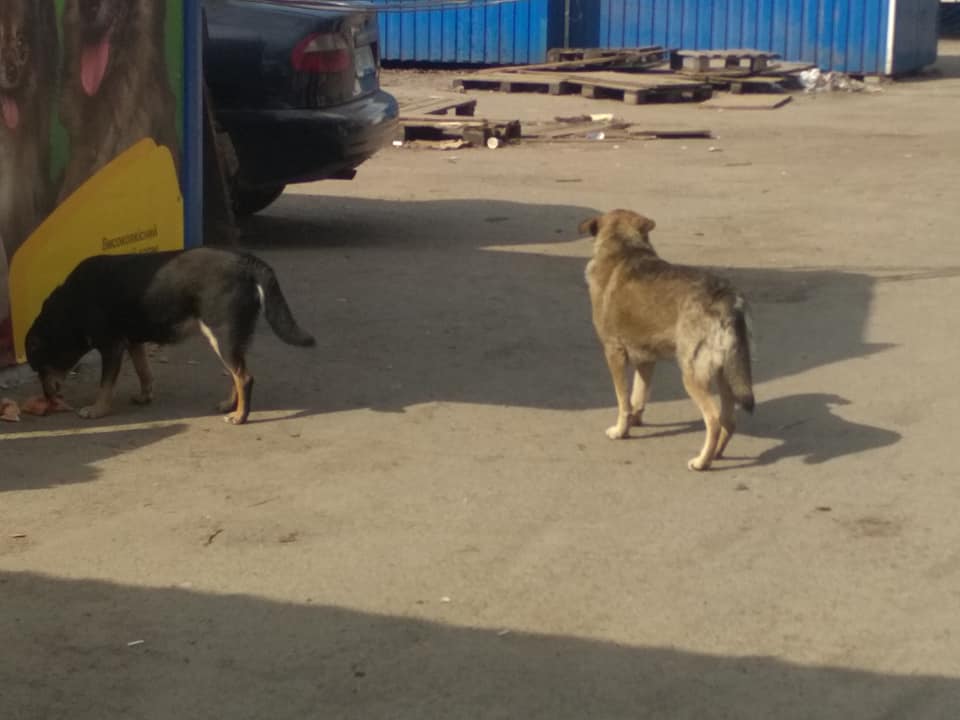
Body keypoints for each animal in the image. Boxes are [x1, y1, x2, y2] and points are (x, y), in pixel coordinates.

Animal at [26, 250, 316, 424]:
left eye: (40, 368)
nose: (48, 398)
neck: (69, 308)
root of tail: (246, 262)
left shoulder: (111, 346)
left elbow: (105, 385)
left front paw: (98, 409)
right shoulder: (133, 343)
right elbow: (144, 372)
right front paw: (145, 396)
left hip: (221, 335)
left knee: (244, 377)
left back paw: (241, 416)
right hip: (228, 339)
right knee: (237, 375)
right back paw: (229, 406)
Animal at [580, 208, 752, 472]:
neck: (624, 248)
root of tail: (725, 296)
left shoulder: (614, 353)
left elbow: (623, 401)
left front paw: (620, 430)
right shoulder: (646, 361)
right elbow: (637, 397)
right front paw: (634, 422)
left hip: (693, 376)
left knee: (713, 420)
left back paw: (702, 462)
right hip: (725, 374)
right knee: (729, 421)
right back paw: (716, 454)